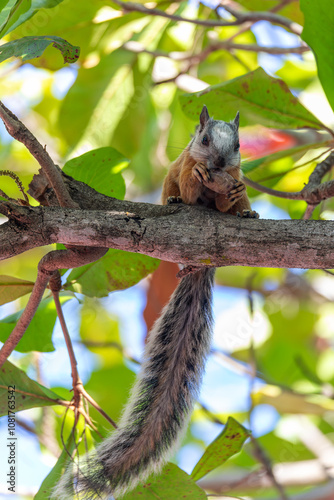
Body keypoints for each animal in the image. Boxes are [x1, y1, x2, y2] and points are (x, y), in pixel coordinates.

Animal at [56, 104, 258, 496]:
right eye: (204, 139)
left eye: (239, 144)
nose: (219, 161)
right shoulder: (181, 166)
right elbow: (190, 186)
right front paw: (196, 178)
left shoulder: (233, 176)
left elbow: (228, 199)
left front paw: (232, 198)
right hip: (168, 182)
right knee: (176, 195)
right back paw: (177, 200)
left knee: (240, 208)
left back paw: (248, 212)